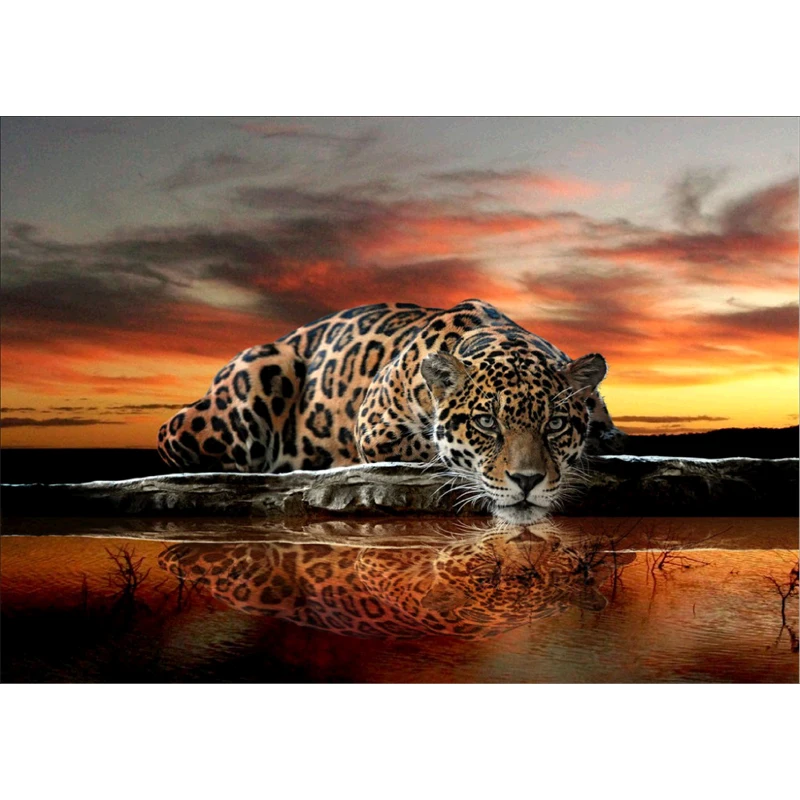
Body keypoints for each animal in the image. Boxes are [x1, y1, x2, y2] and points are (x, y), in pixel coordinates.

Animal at [158, 299, 625, 523]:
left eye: (555, 424)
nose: (527, 481)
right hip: (258, 373)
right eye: (486, 423)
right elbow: (433, 447)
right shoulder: (375, 426)